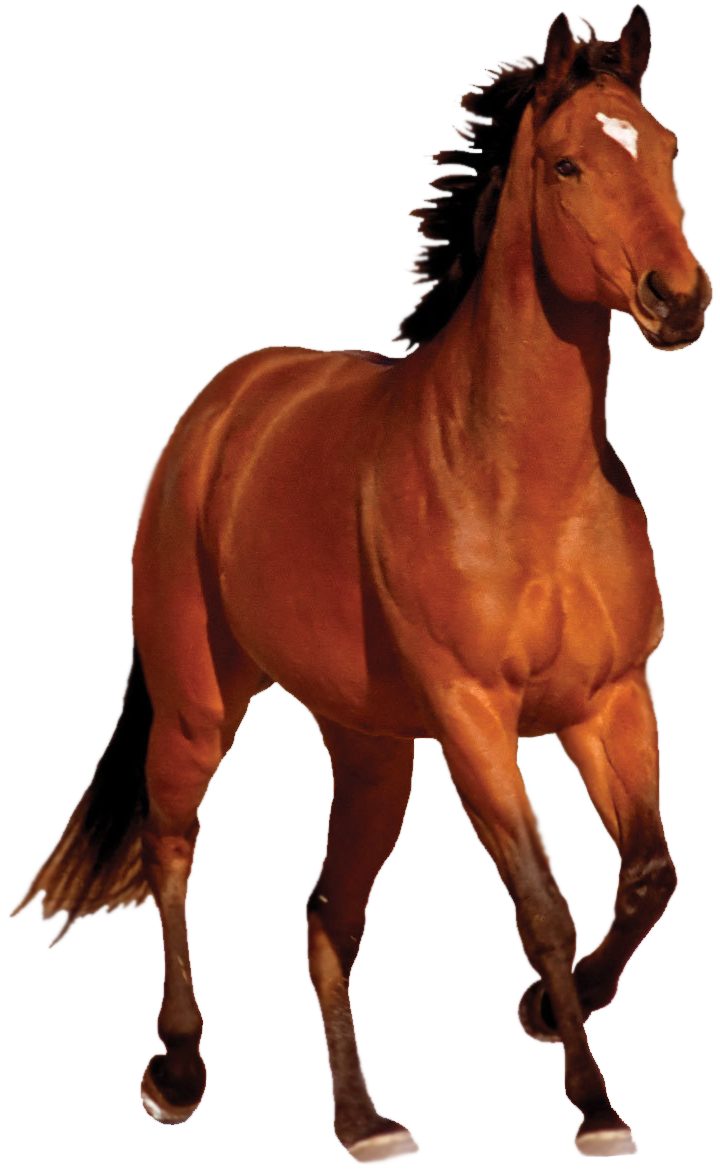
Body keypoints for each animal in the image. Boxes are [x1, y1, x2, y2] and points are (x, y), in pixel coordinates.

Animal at [9, 4, 713, 1162]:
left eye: (662, 151)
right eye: (569, 163)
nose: (680, 300)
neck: (522, 482)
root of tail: (218, 410)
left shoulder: (606, 701)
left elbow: (654, 871)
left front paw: (546, 1010)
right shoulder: (475, 718)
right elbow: (543, 902)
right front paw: (600, 1109)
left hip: (371, 745)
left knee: (327, 916)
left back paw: (367, 1121)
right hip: (200, 706)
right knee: (171, 849)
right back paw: (179, 1073)